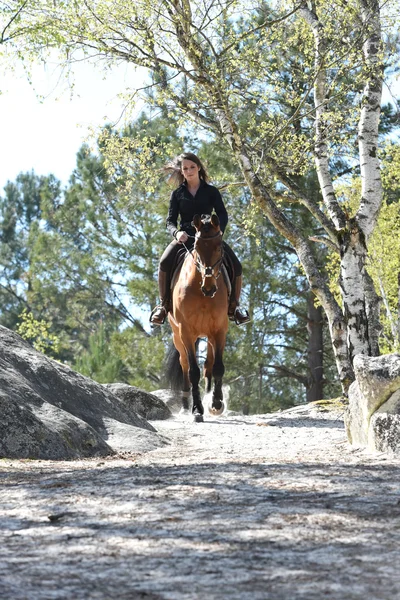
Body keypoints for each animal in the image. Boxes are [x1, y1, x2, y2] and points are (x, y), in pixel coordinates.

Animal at [165, 213, 228, 424]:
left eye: (219, 247)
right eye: (197, 247)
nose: (209, 288)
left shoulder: (219, 329)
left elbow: (217, 367)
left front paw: (216, 404)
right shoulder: (186, 331)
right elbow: (193, 371)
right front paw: (197, 409)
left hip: (208, 335)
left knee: (209, 363)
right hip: (178, 336)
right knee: (184, 364)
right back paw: (185, 405)